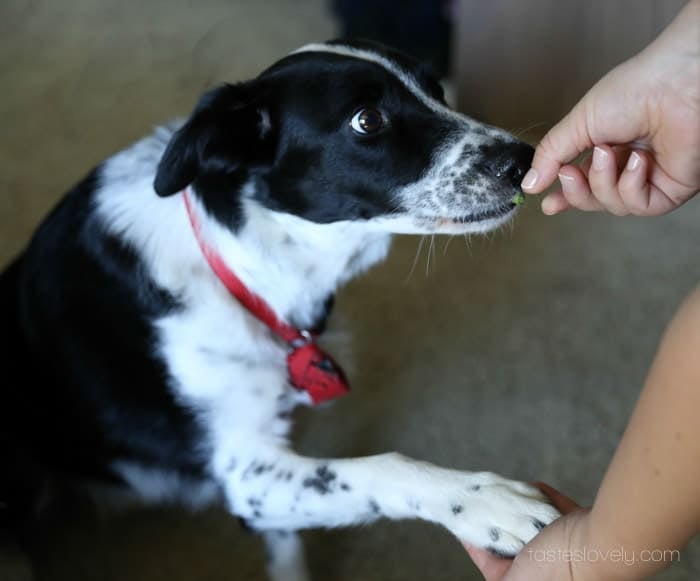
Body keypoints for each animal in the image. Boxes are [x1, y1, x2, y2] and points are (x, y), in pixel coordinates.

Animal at [0, 39, 556, 576]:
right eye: (367, 119)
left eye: (436, 89)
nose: (525, 159)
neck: (239, 263)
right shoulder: (247, 472)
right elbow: (380, 466)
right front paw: (487, 501)